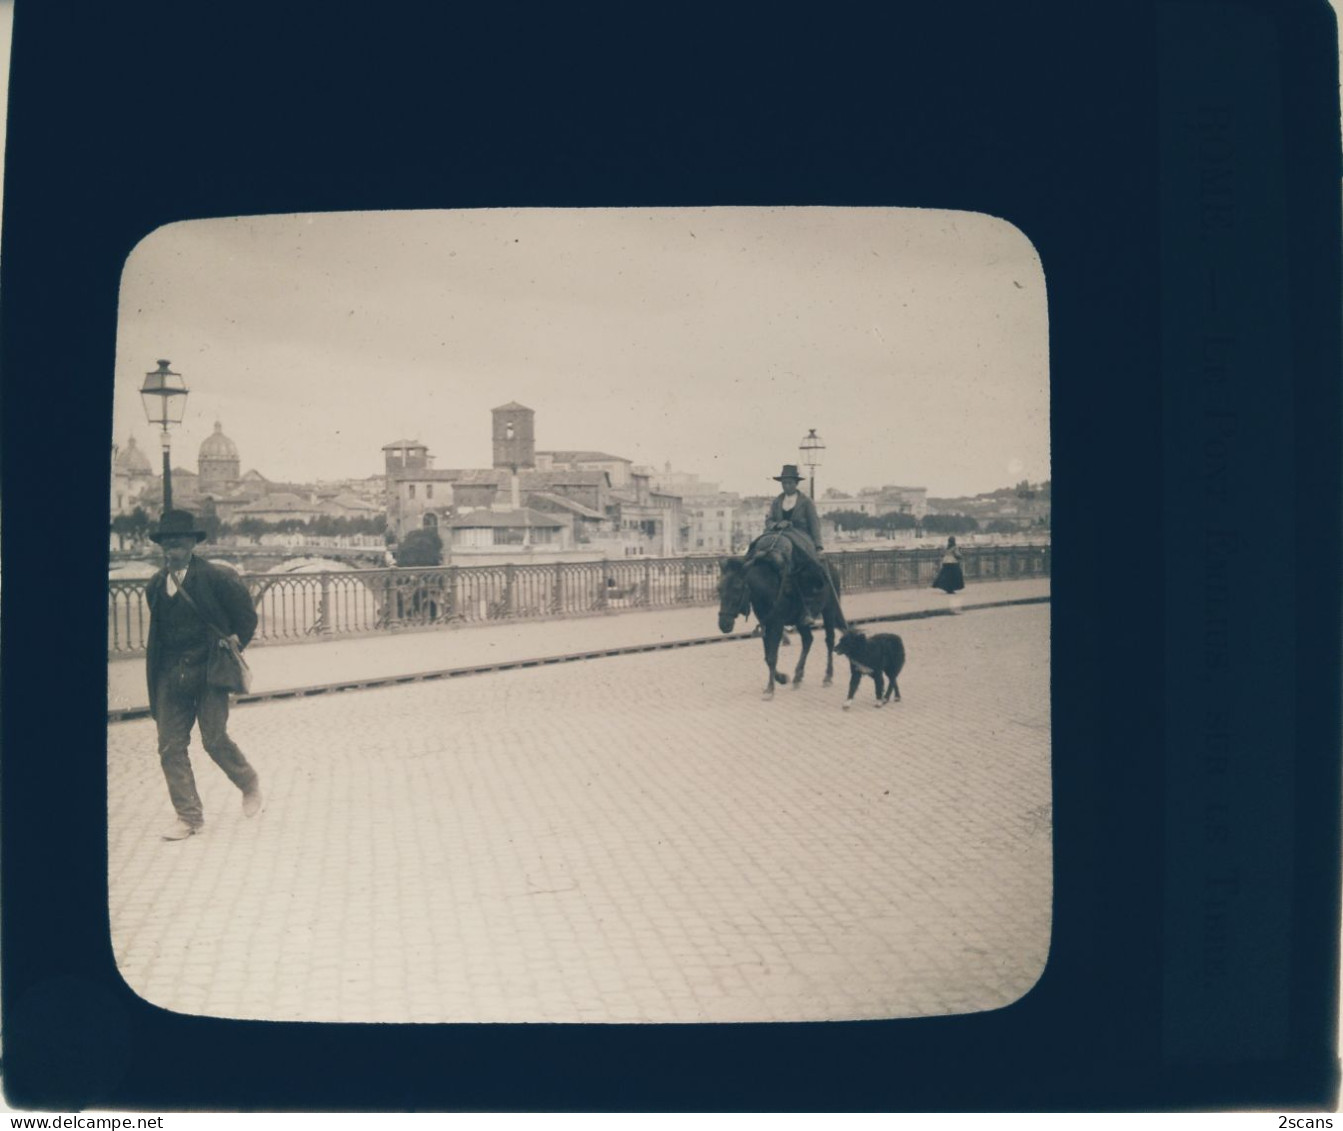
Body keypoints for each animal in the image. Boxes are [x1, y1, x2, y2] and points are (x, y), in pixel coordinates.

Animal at [719, 539, 843, 698]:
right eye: (719, 589)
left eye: (737, 588)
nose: (723, 624)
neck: (767, 586)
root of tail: (832, 569)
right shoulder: (766, 624)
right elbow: (767, 656)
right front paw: (781, 678)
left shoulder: (777, 624)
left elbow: (772, 656)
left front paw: (770, 689)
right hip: (801, 621)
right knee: (808, 640)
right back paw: (798, 676)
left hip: (829, 611)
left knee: (829, 640)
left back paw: (827, 676)